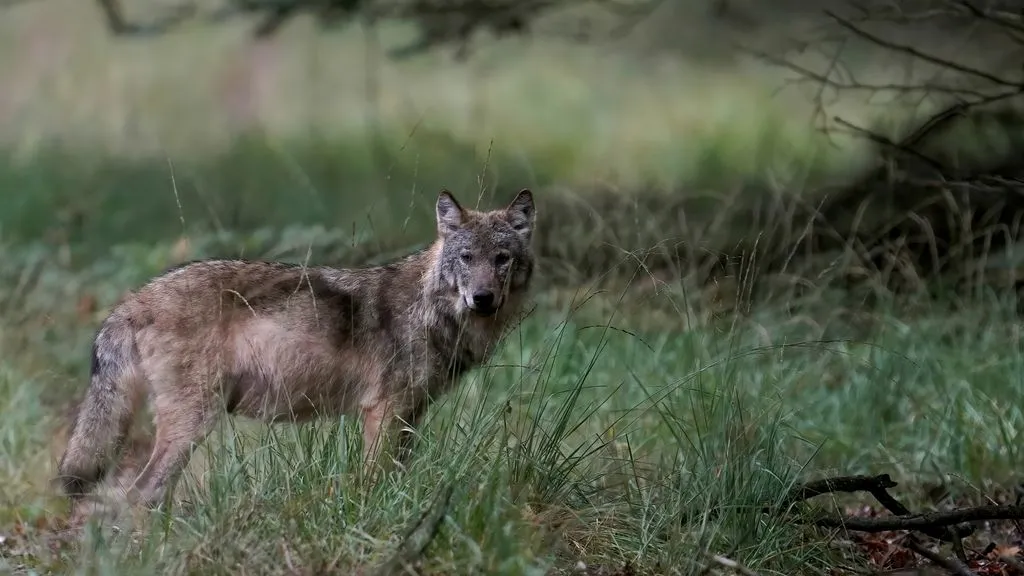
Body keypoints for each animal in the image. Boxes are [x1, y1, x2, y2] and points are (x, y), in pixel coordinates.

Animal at [54, 187, 536, 506]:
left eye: (502, 259)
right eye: (467, 258)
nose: (483, 299)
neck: (431, 310)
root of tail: (133, 299)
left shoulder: (411, 415)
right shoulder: (383, 411)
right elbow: (373, 482)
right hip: (192, 424)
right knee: (138, 495)